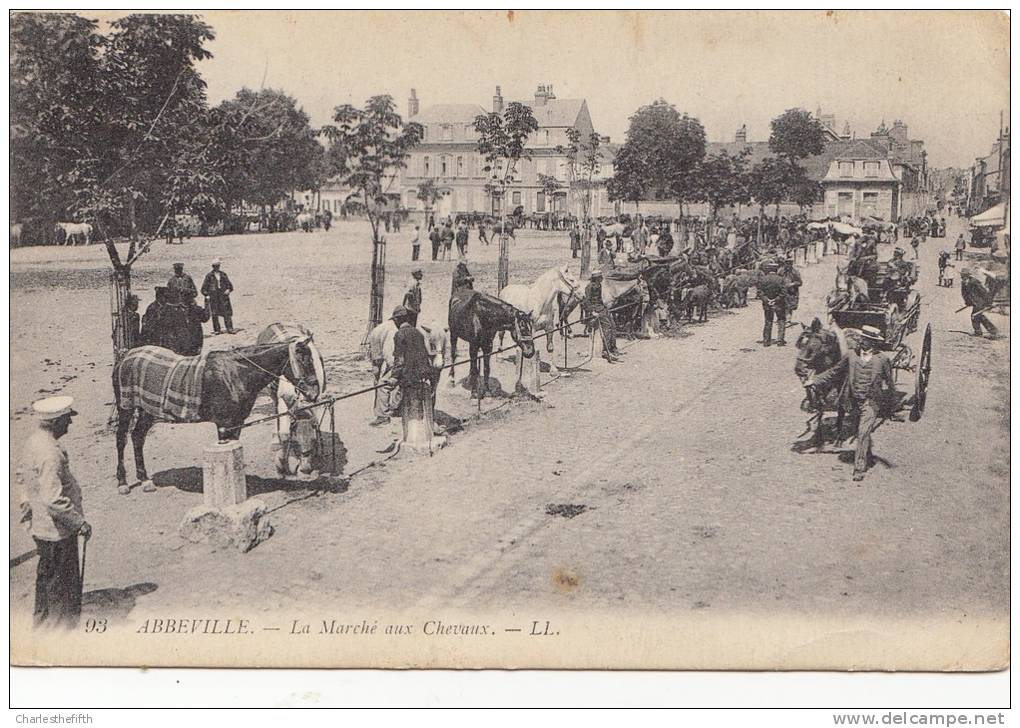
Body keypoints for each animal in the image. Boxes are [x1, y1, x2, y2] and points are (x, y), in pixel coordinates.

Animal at [111, 336, 318, 493]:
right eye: (305, 361)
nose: (314, 393)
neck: (234, 374)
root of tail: (124, 357)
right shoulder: (224, 424)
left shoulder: (236, 422)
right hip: (126, 407)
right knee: (121, 439)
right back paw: (123, 483)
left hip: (147, 409)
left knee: (137, 437)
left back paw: (144, 479)